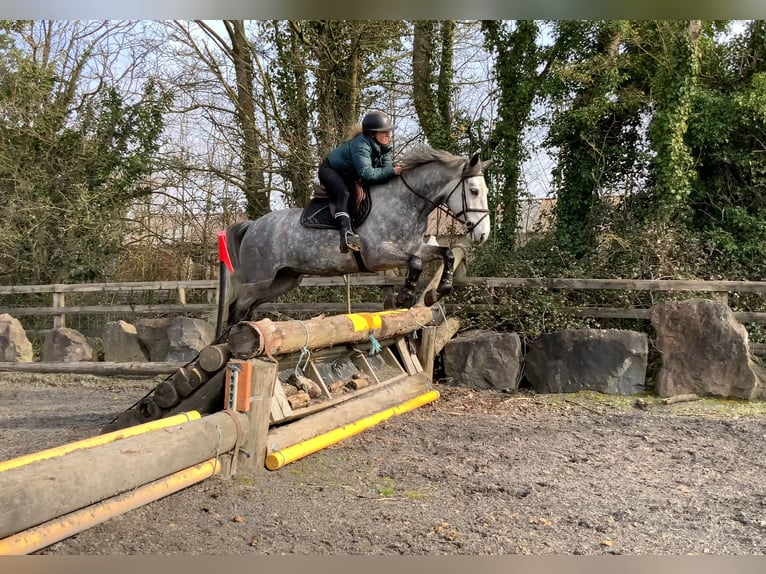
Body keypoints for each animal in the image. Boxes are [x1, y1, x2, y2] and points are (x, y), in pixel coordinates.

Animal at [215, 146, 492, 338]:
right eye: (474, 191)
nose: (483, 235)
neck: (408, 202)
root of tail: (252, 225)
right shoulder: (378, 255)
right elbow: (414, 263)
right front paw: (404, 296)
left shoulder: (417, 247)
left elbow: (447, 254)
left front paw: (437, 293)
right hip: (259, 280)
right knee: (236, 307)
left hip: (282, 281)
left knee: (247, 308)